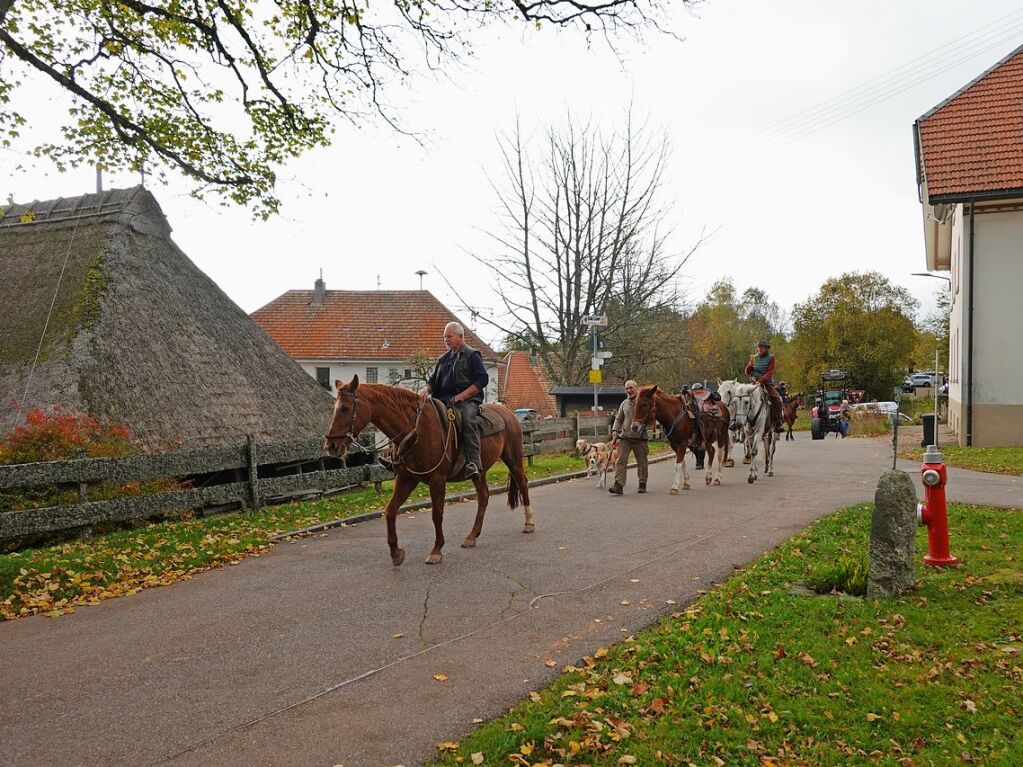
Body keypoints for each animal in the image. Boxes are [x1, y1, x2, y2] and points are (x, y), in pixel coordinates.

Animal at [323, 376, 536, 568]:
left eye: (345, 408)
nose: (330, 446)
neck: (415, 430)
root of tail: (508, 413)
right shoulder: (406, 479)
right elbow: (390, 511)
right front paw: (396, 552)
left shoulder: (437, 480)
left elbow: (437, 514)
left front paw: (436, 551)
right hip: (479, 471)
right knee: (483, 496)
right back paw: (472, 536)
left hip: (513, 459)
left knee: (523, 484)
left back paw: (529, 523)